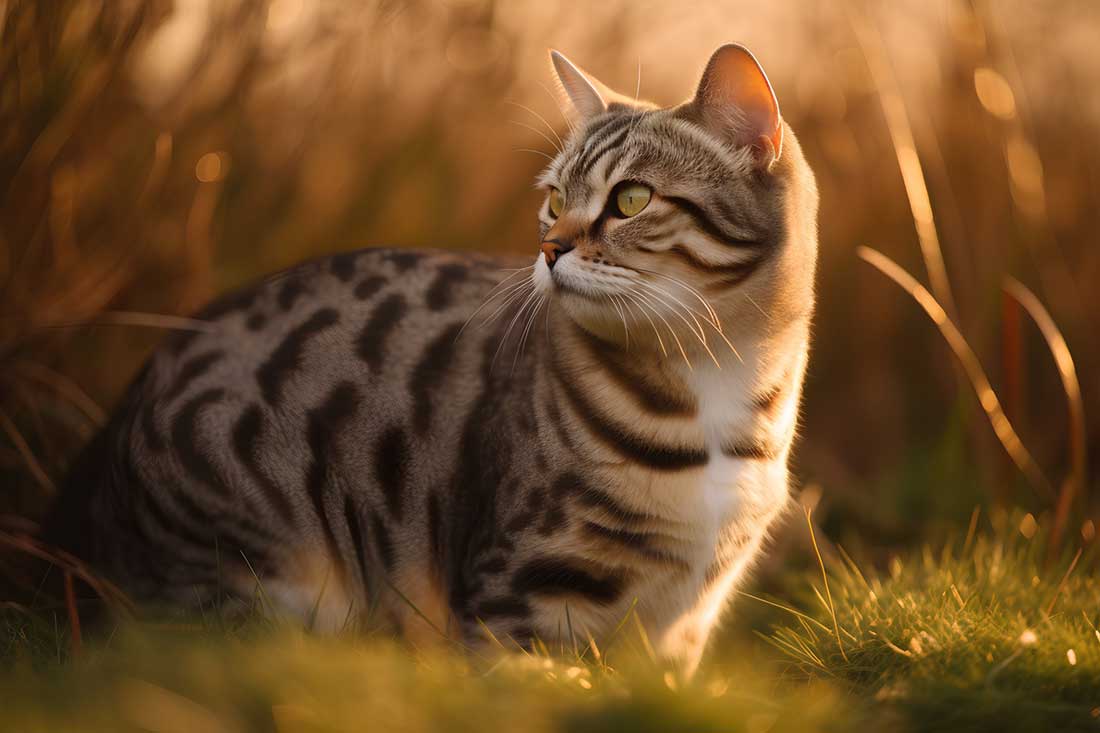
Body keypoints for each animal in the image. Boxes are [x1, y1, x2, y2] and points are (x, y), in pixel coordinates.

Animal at [45, 44, 818, 673]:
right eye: (554, 198)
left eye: (630, 199)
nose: (550, 248)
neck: (718, 387)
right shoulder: (522, 601)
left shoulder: (682, 627)